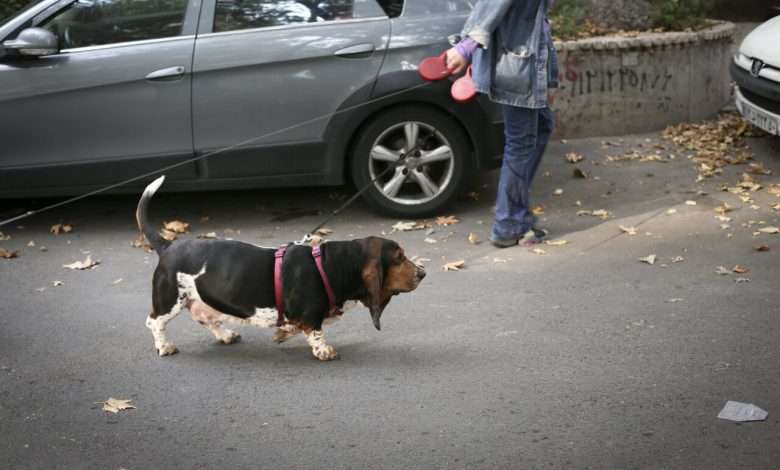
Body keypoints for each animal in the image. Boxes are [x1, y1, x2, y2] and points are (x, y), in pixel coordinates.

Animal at [136, 175, 426, 360]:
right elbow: (316, 331)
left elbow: (294, 326)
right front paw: (324, 351)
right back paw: (165, 347)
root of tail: (168, 244)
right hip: (170, 300)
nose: (423, 273)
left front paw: (283, 333)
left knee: (205, 317)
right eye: (399, 257)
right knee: (153, 321)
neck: (332, 265)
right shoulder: (311, 317)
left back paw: (227, 335)